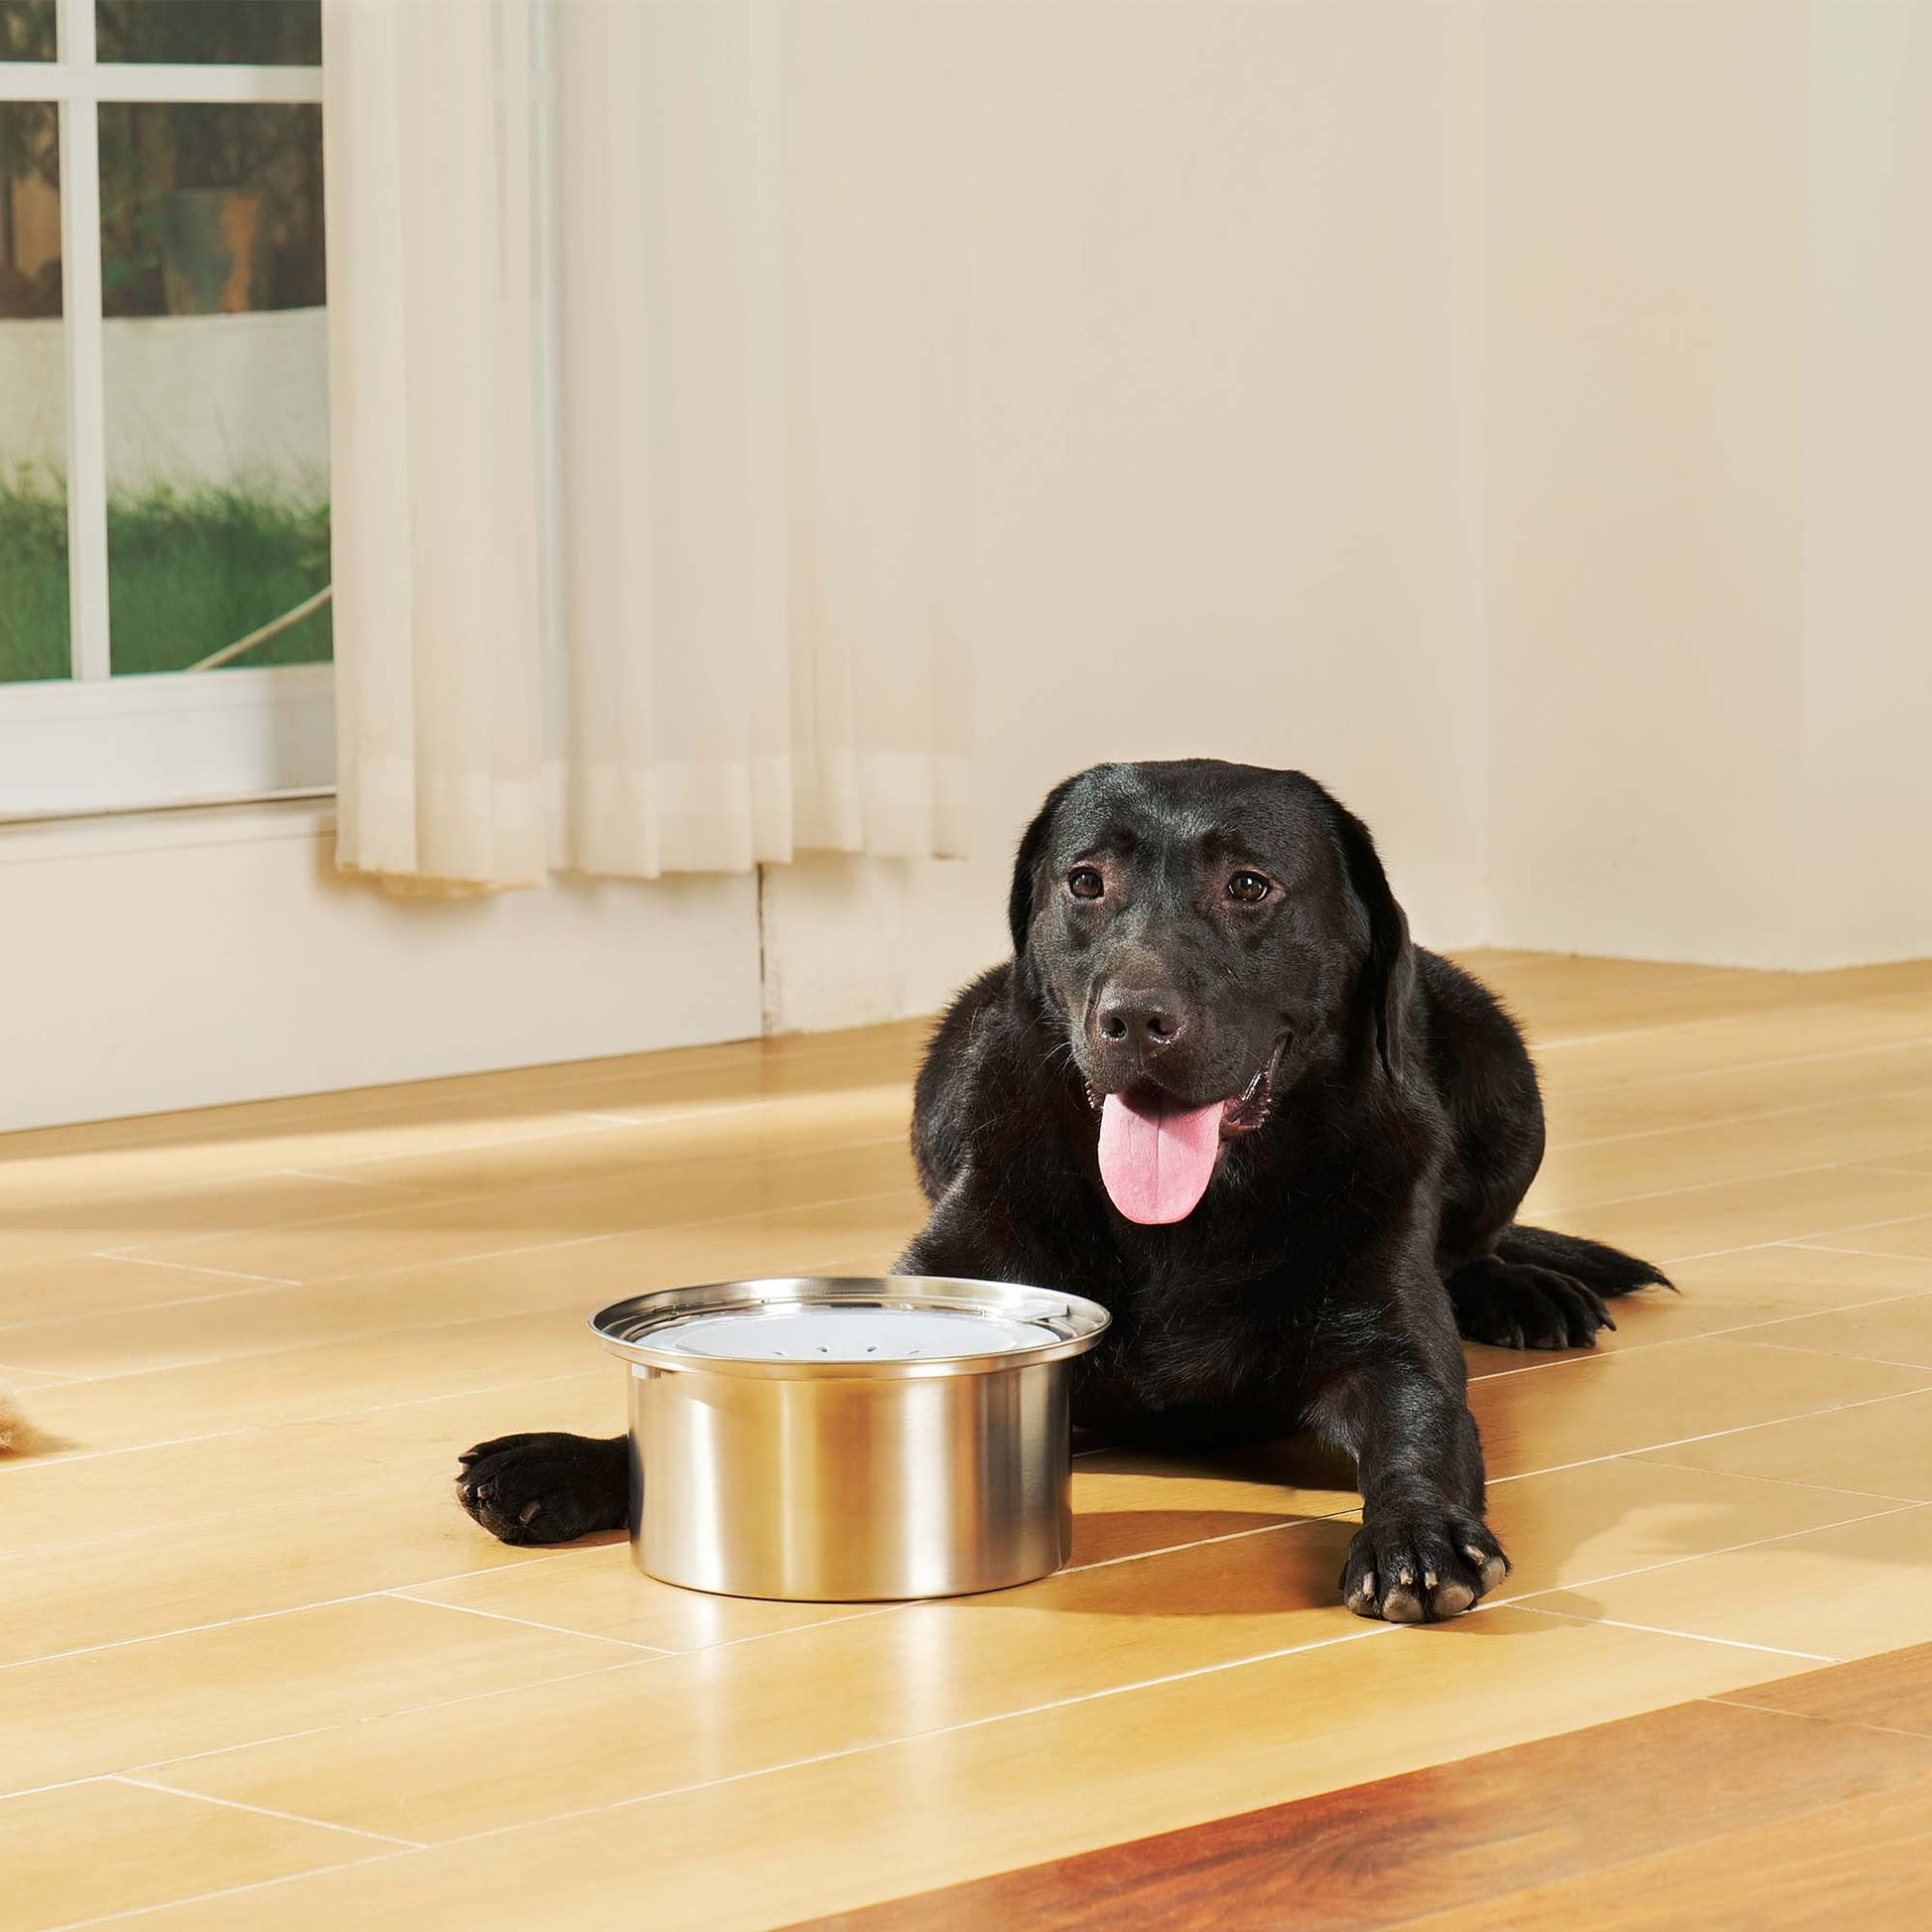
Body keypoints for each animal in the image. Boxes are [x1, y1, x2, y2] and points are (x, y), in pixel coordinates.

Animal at [460, 760, 1669, 1622]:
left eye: (1249, 886)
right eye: (1085, 881)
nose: (1133, 1018)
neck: (1193, 1215)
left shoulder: (1391, 1341)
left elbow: (1420, 1422)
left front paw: (1414, 1534)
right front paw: (571, 1461)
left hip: (1495, 1057)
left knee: (1479, 1239)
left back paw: (1522, 1289)